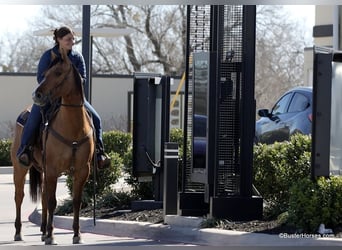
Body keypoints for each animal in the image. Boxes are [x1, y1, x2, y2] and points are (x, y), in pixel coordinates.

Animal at [10, 47, 95, 245]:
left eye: (58, 73)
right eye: (45, 74)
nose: (37, 95)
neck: (73, 127)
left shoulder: (82, 170)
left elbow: (76, 201)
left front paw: (76, 234)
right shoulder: (53, 169)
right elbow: (52, 202)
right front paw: (51, 235)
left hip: (43, 170)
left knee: (42, 197)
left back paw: (42, 230)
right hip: (20, 167)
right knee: (19, 196)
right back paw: (19, 232)